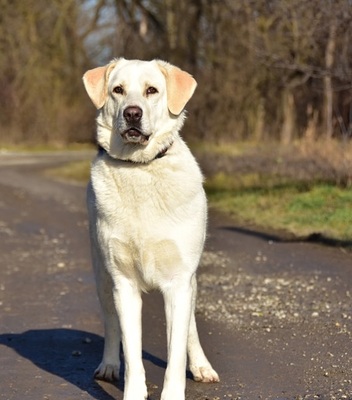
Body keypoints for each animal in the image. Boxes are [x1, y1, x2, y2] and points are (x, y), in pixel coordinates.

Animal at [83, 59, 219, 400]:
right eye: (117, 90)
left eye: (152, 90)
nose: (132, 113)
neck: (140, 169)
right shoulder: (124, 284)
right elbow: (132, 352)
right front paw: (133, 390)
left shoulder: (179, 282)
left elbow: (175, 354)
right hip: (102, 275)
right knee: (111, 325)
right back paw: (108, 365)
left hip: (190, 281)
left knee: (190, 327)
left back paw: (201, 366)